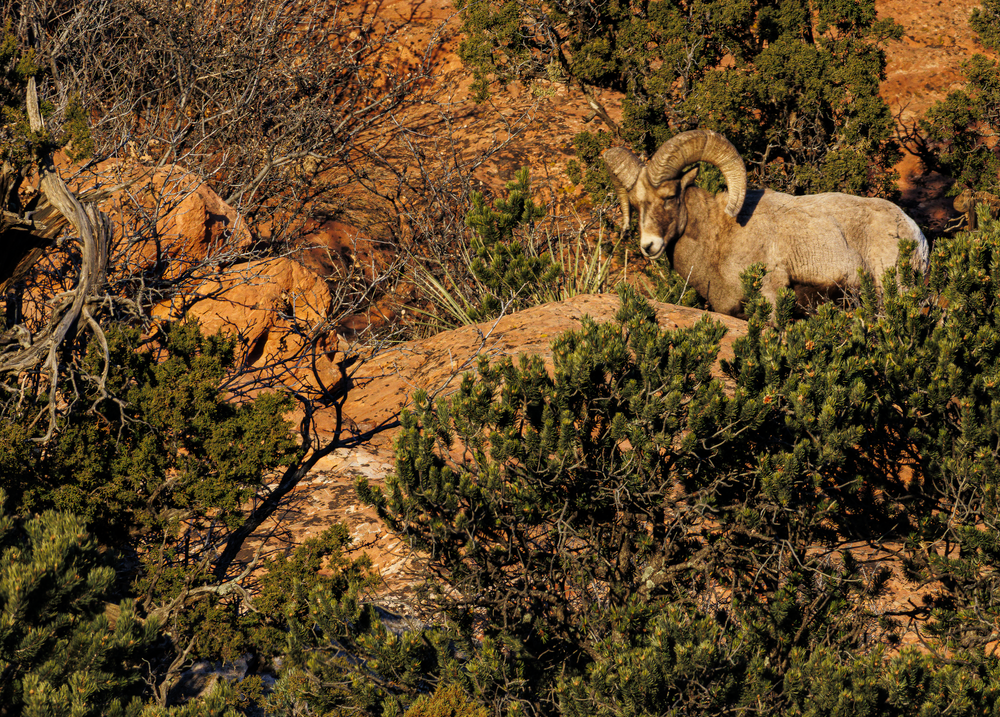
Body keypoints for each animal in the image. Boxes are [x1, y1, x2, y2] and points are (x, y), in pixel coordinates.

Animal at [602, 129, 931, 318]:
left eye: (670, 196)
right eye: (636, 203)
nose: (649, 246)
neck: (720, 237)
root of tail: (917, 236)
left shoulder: (770, 297)